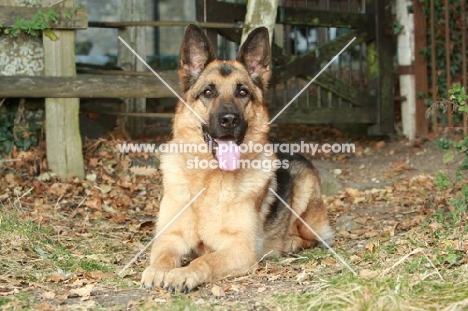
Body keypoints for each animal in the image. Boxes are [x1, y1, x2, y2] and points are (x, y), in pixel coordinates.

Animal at [140, 25, 332, 294]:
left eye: (242, 92)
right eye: (208, 92)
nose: (229, 120)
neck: (208, 180)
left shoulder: (240, 249)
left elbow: (205, 260)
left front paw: (184, 273)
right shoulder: (170, 237)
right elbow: (163, 255)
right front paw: (158, 269)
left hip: (305, 194)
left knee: (312, 238)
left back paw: (291, 242)